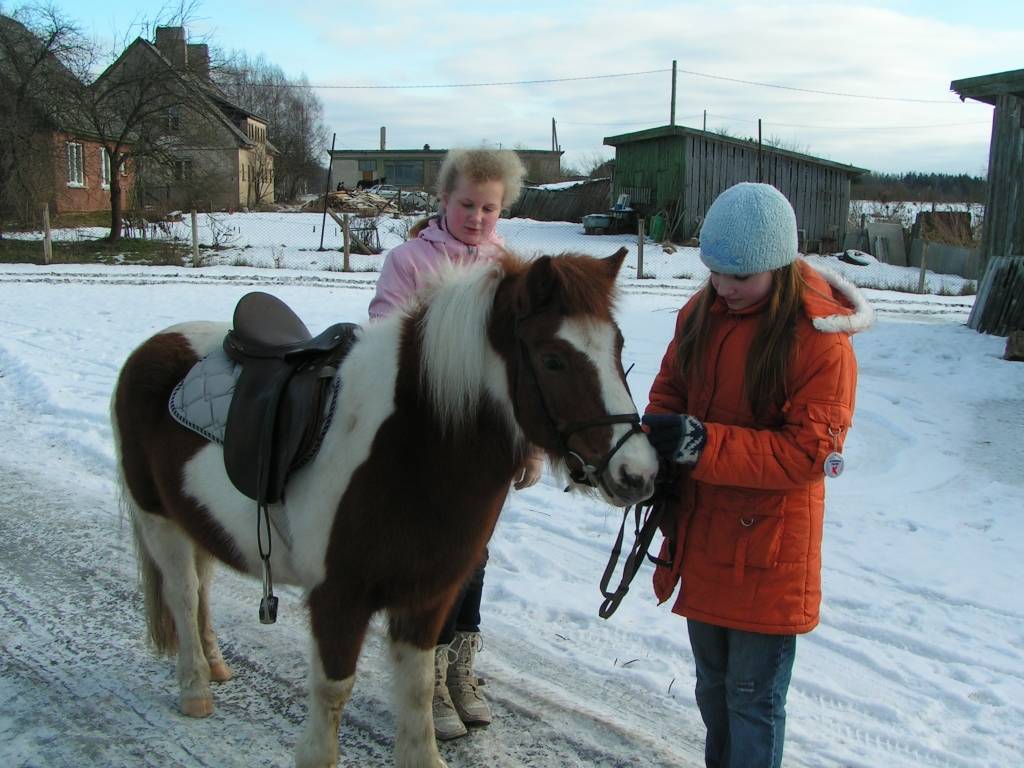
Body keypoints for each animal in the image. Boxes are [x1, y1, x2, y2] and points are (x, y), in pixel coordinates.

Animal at [110, 249, 655, 765]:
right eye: (553, 360)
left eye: (618, 348)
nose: (640, 475)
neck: (408, 447)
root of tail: (153, 346)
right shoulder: (337, 598)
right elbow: (333, 693)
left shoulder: (426, 599)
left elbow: (417, 691)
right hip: (159, 520)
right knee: (183, 595)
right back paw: (196, 688)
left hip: (197, 520)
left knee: (201, 587)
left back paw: (218, 665)